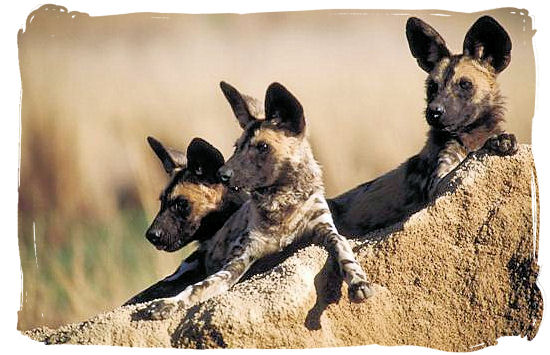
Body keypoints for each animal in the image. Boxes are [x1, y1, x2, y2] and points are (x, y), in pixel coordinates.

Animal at [142, 82, 376, 320]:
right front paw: (171, 303)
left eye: (262, 147)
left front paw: (357, 280)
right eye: (236, 147)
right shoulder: (238, 260)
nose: (222, 173)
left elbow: (343, 248)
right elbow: (200, 286)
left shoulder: (326, 230)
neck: (282, 204)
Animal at [330, 16, 520, 236]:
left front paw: (502, 140)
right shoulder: (441, 182)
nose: (434, 111)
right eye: (432, 87)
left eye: (464, 84)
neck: (472, 136)